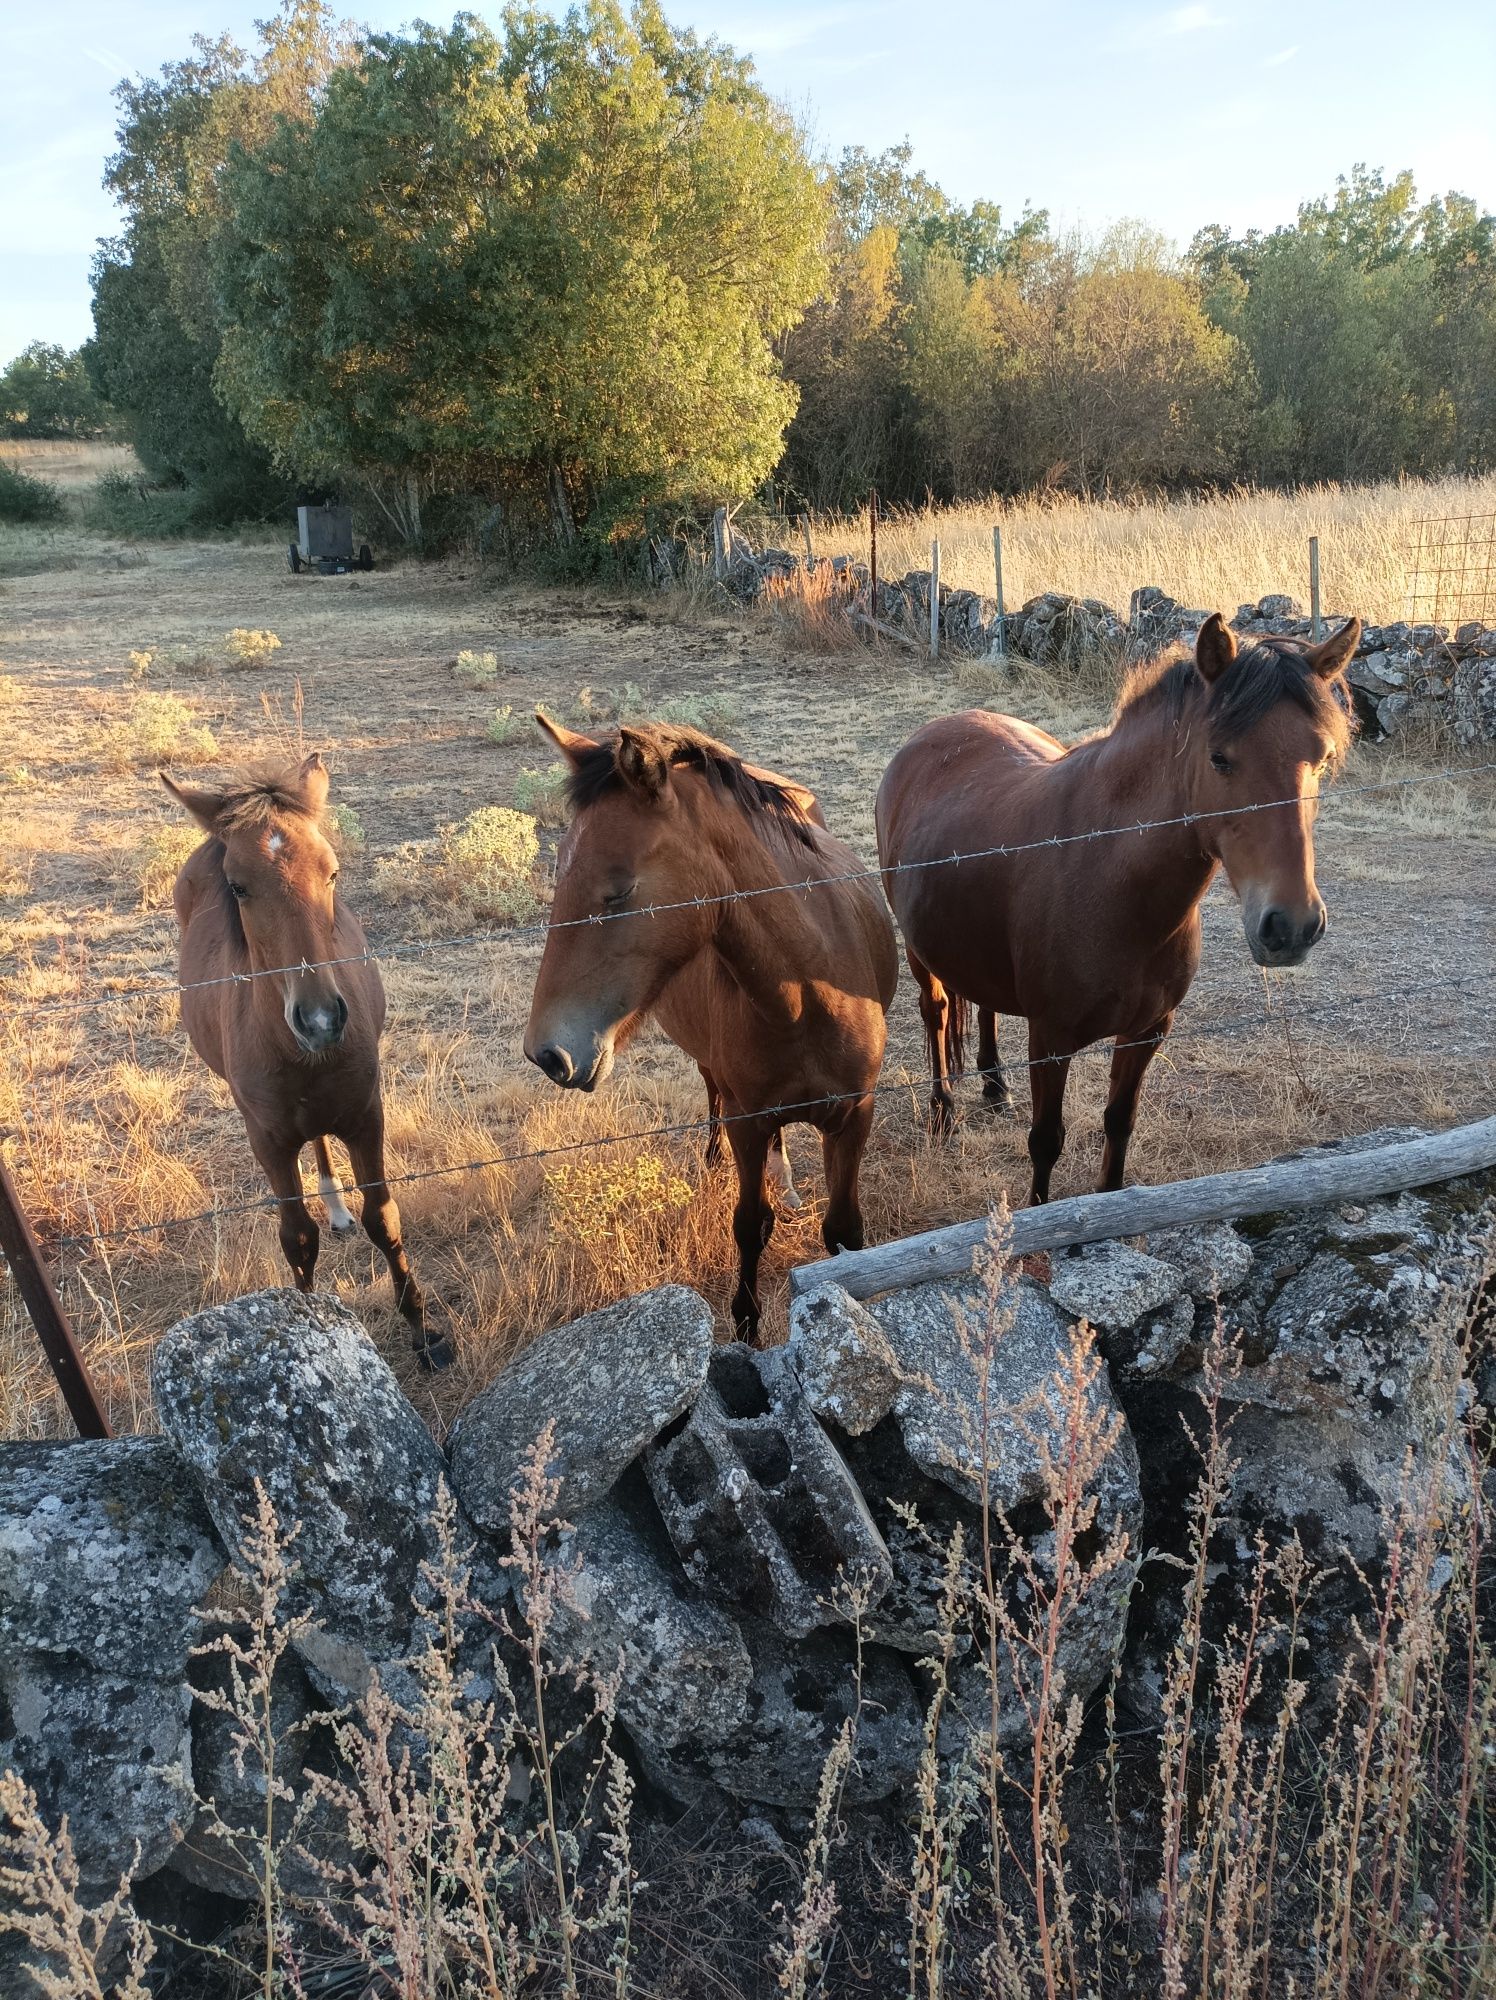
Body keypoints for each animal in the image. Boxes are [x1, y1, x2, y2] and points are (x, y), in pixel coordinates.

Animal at [163, 756, 448, 1368]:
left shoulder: (366, 1116)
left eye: (332, 873)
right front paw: (307, 1326)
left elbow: (384, 1218)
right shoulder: (268, 1141)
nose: (319, 1019)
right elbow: (296, 1239)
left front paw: (423, 1331)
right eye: (239, 887)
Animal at [524, 712, 900, 1336]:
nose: (547, 1054)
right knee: (713, 1093)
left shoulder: (854, 1114)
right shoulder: (749, 1119)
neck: (805, 995)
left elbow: (844, 1231)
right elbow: (750, 1224)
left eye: (620, 889)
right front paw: (746, 1326)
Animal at [876, 608, 1352, 1200]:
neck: (1112, 881)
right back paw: (943, 1111)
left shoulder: (1147, 1031)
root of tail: (932, 733)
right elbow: (1046, 1140)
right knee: (937, 1014)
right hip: (920, 953)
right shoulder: (1051, 1039)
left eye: (1323, 759)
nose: (1291, 926)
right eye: (1219, 758)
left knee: (984, 1004)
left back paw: (993, 1085)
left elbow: (1119, 1123)